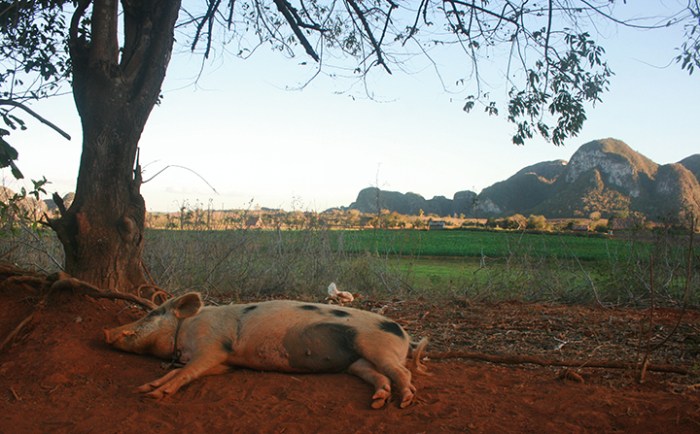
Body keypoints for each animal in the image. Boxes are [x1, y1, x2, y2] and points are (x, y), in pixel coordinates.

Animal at [104, 292, 428, 409]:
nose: (105, 332)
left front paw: (153, 395)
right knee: (380, 377)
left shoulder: (213, 347)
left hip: (375, 346)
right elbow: (183, 372)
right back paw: (378, 401)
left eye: (152, 313)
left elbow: (186, 372)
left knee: (402, 373)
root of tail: (406, 335)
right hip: (357, 362)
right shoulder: (223, 363)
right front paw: (145, 388)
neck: (185, 331)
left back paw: (405, 401)